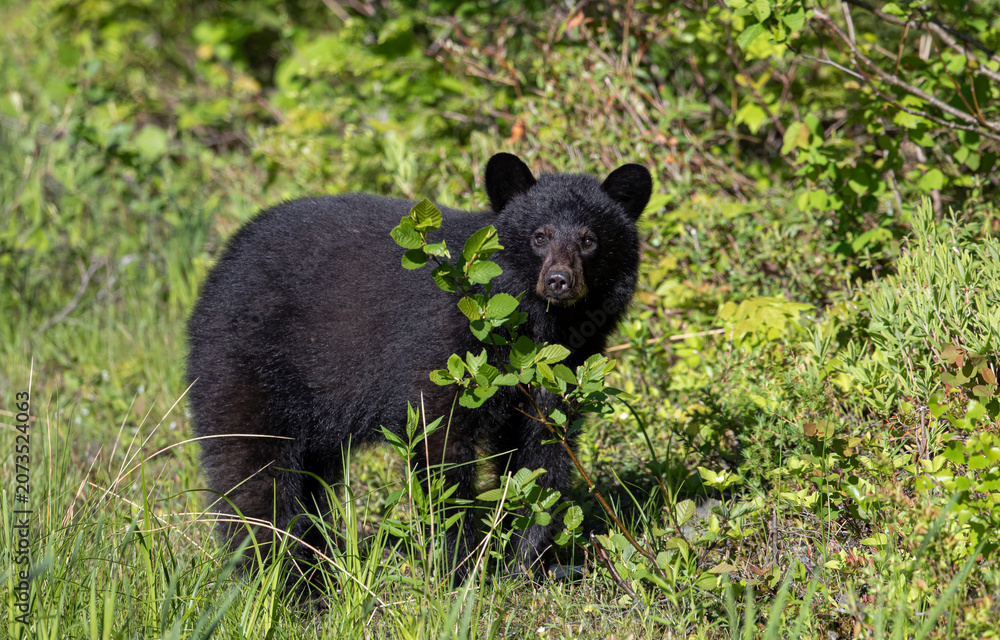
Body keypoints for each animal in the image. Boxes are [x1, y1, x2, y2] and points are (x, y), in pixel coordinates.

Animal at [185, 152, 652, 584]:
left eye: (590, 240)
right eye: (540, 235)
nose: (559, 280)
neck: (534, 326)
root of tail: (219, 268)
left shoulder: (564, 365)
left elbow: (542, 457)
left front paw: (526, 565)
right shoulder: (444, 349)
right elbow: (441, 446)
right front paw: (462, 570)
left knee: (311, 482)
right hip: (247, 365)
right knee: (253, 474)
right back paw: (278, 579)